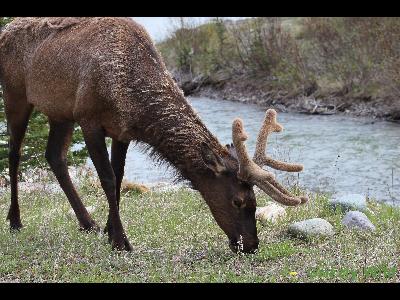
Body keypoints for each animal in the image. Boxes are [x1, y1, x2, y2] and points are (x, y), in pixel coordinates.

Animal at [0, 17, 306, 253]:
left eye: (255, 202)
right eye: (238, 201)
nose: (251, 245)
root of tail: (5, 30)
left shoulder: (121, 131)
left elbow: (119, 177)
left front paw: (109, 230)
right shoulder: (89, 119)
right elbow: (107, 179)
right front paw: (121, 241)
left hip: (59, 112)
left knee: (54, 156)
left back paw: (88, 223)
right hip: (16, 96)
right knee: (14, 152)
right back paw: (15, 220)